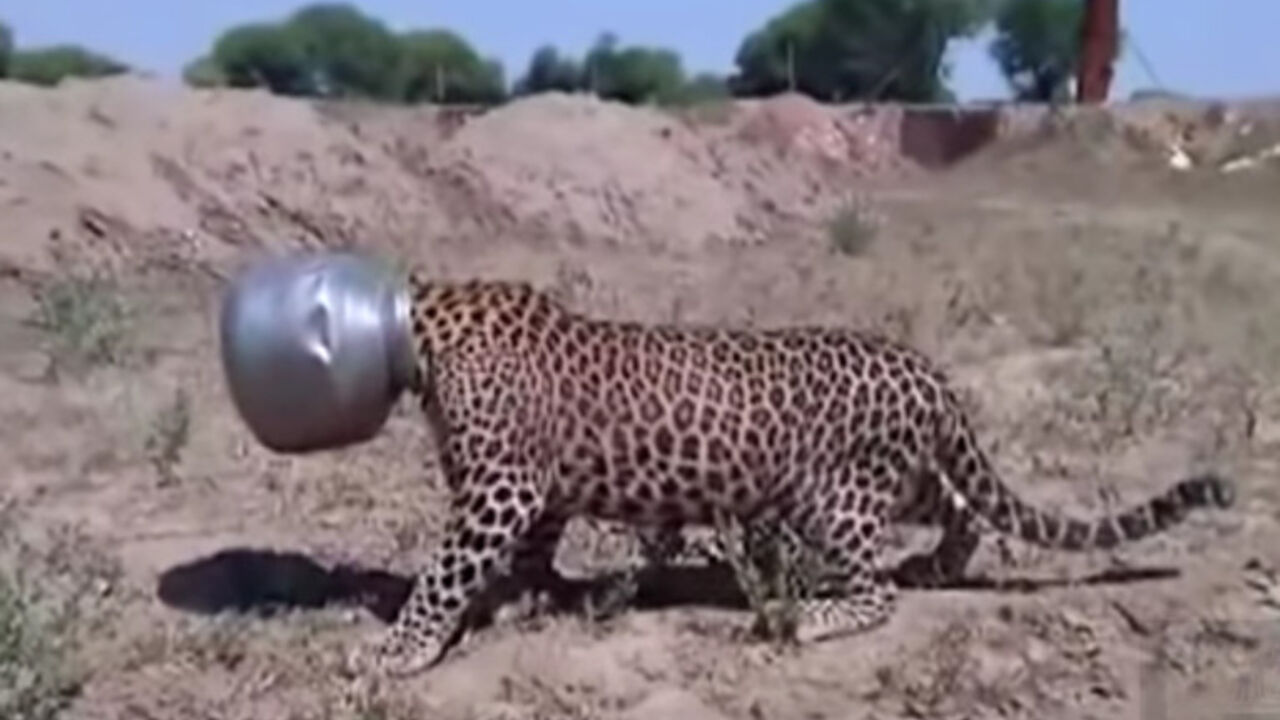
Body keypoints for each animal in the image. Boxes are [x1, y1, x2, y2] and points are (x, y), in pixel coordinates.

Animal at [348, 274, 1236, 678]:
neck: (422, 329)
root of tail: (928, 370)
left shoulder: (500, 487)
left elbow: (445, 574)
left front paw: (397, 651)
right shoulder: (534, 485)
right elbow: (533, 550)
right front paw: (534, 599)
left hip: (831, 499)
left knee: (877, 592)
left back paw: (809, 617)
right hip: (888, 476)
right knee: (961, 507)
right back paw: (938, 565)